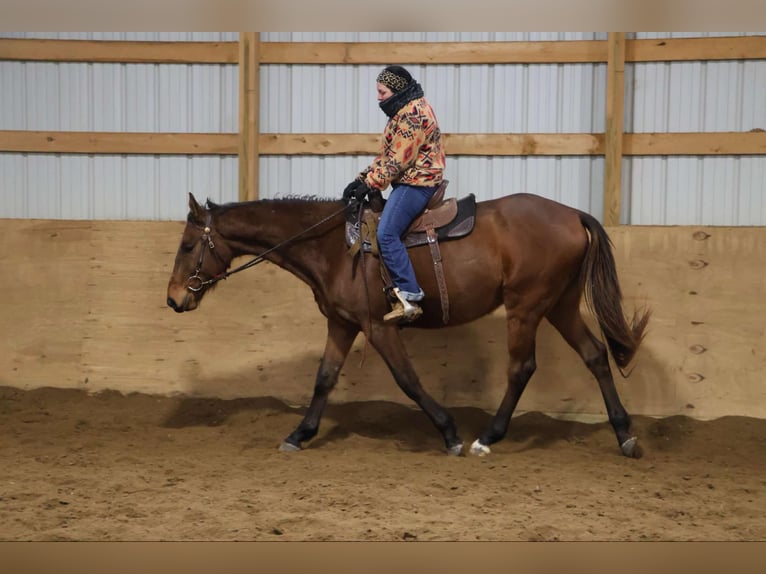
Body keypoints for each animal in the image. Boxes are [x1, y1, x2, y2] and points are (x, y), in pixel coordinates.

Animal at [165, 192, 652, 460]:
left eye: (188, 245)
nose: (173, 299)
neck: (333, 245)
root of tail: (572, 214)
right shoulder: (342, 324)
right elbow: (324, 378)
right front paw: (299, 434)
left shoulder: (378, 327)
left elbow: (408, 380)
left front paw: (450, 433)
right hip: (560, 305)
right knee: (595, 355)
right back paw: (625, 435)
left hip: (526, 307)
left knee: (522, 368)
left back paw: (486, 438)